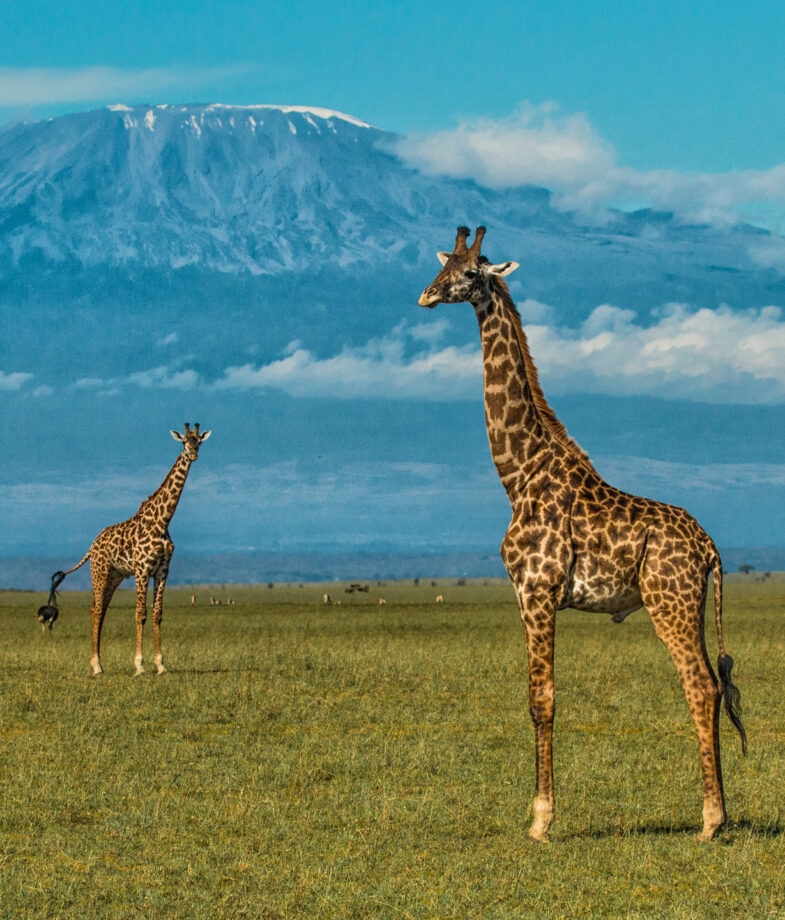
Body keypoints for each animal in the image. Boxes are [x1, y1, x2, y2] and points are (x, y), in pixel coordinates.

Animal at [50, 423, 211, 676]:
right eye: (185, 442)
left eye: (200, 442)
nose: (193, 454)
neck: (162, 521)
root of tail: (92, 546)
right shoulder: (142, 570)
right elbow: (140, 614)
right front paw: (139, 665)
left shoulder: (163, 570)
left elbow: (157, 614)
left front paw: (161, 665)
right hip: (100, 571)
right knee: (97, 609)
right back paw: (96, 666)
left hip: (115, 576)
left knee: (100, 608)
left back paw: (99, 663)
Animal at [418, 227, 746, 842]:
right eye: (444, 264)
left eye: (472, 272)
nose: (426, 295)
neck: (518, 473)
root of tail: (711, 548)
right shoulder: (531, 595)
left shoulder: (537, 591)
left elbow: (541, 699)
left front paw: (540, 820)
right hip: (688, 606)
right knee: (713, 686)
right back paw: (718, 814)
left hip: (669, 603)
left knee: (699, 684)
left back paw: (711, 821)